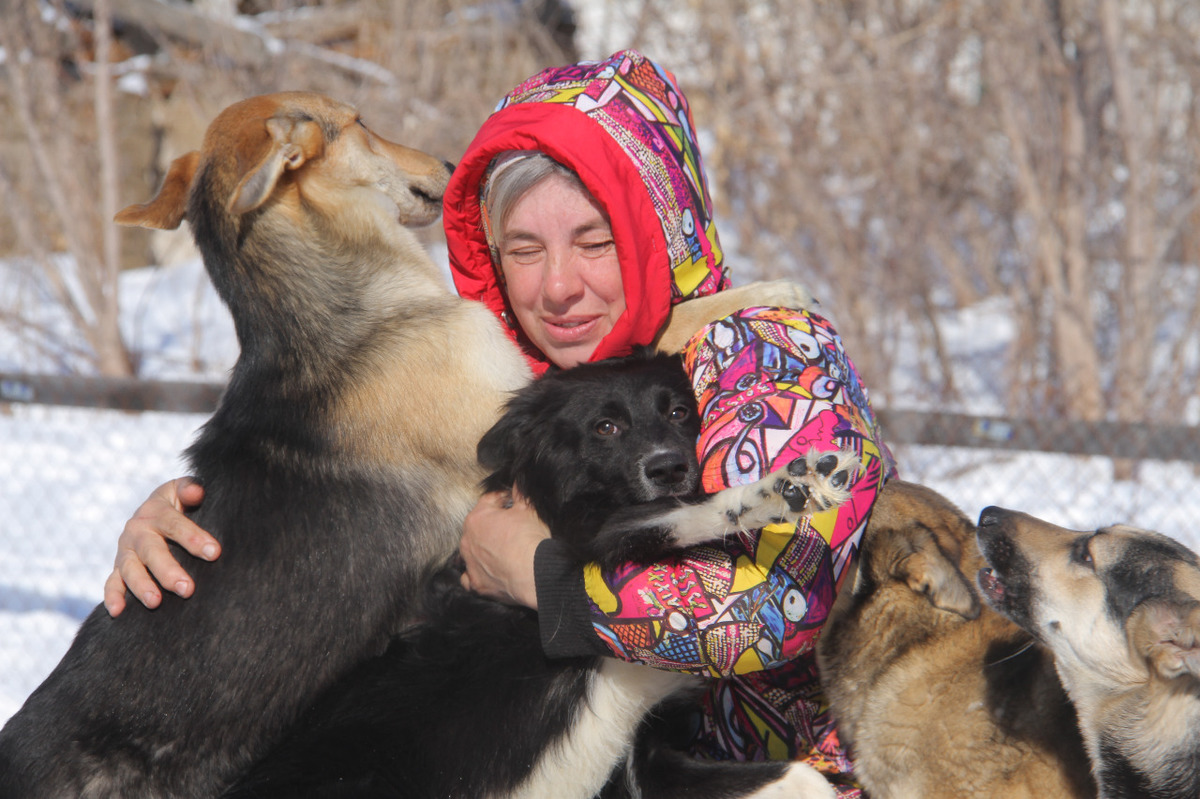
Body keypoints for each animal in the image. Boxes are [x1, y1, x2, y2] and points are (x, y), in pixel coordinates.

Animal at [226, 352, 864, 796]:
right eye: (604, 427)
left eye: (679, 411)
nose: (669, 467)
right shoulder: (593, 539)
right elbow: (671, 516)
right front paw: (784, 488)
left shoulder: (645, 761)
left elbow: (798, 779)